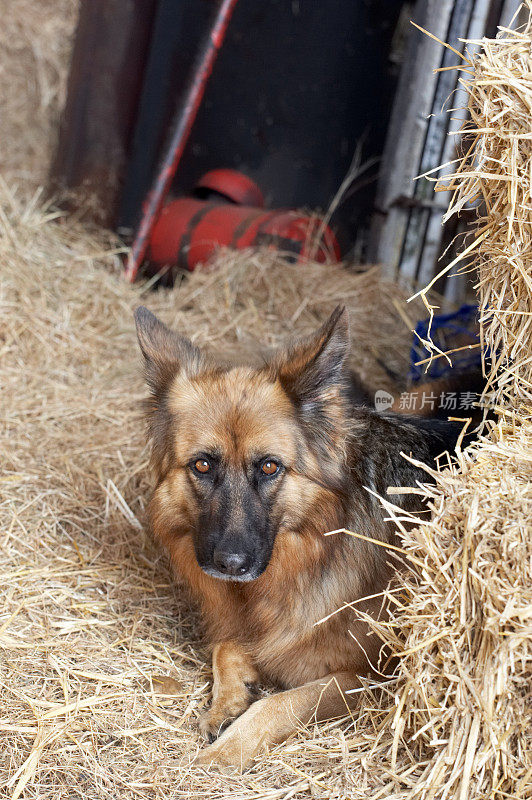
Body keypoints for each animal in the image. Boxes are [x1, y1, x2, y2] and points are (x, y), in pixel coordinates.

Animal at [135, 304, 464, 764]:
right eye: (201, 465)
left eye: (269, 466)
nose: (230, 565)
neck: (314, 547)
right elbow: (226, 646)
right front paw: (228, 702)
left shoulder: (372, 678)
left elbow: (279, 702)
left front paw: (226, 750)